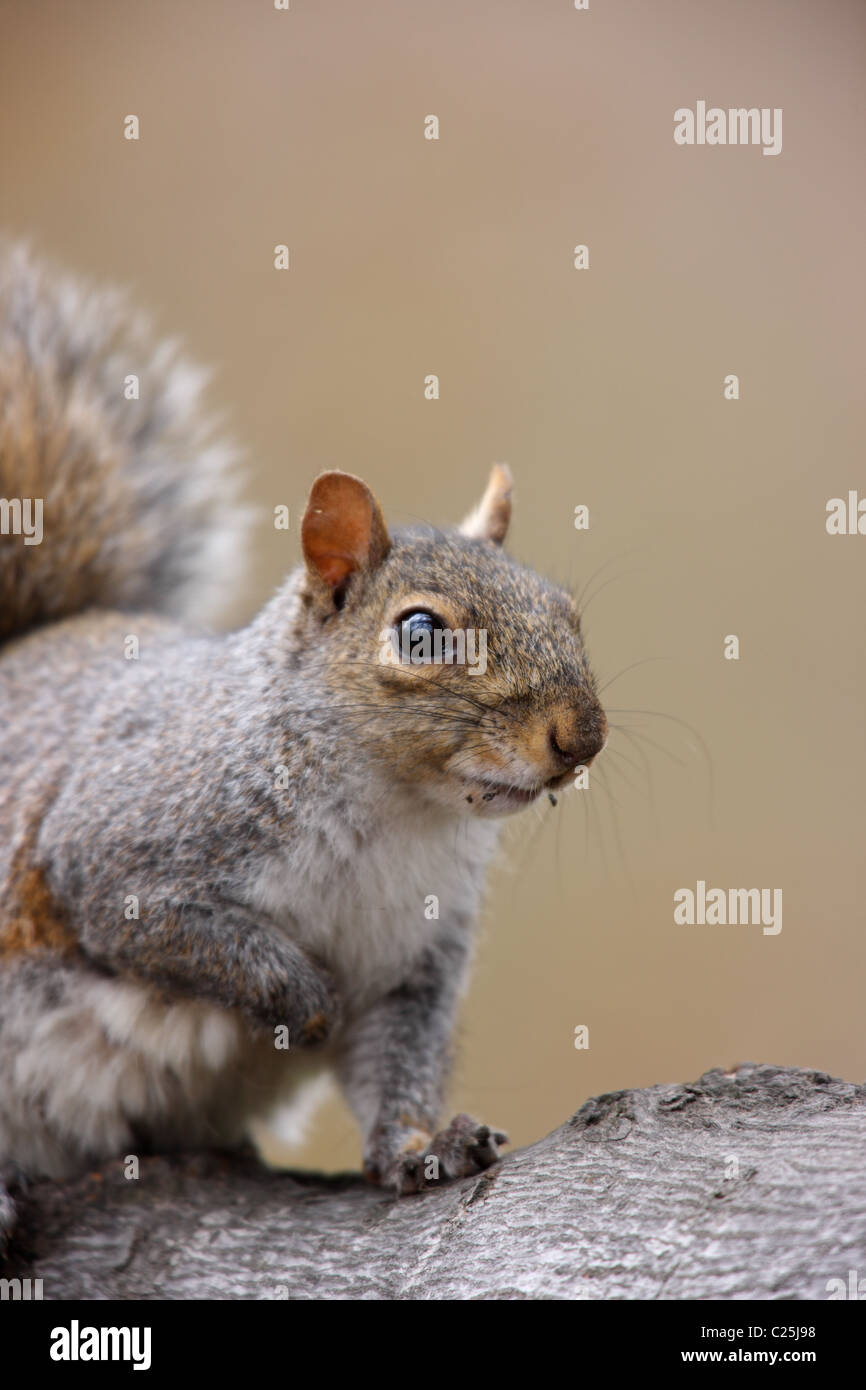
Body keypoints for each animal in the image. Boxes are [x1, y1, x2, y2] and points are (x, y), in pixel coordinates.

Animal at [0, 245, 607, 1248]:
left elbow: (395, 1058)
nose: (581, 737)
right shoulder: (121, 845)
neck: (396, 813)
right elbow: (172, 927)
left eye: (568, 611)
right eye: (419, 633)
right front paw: (299, 997)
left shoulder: (415, 959)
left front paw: (420, 1145)